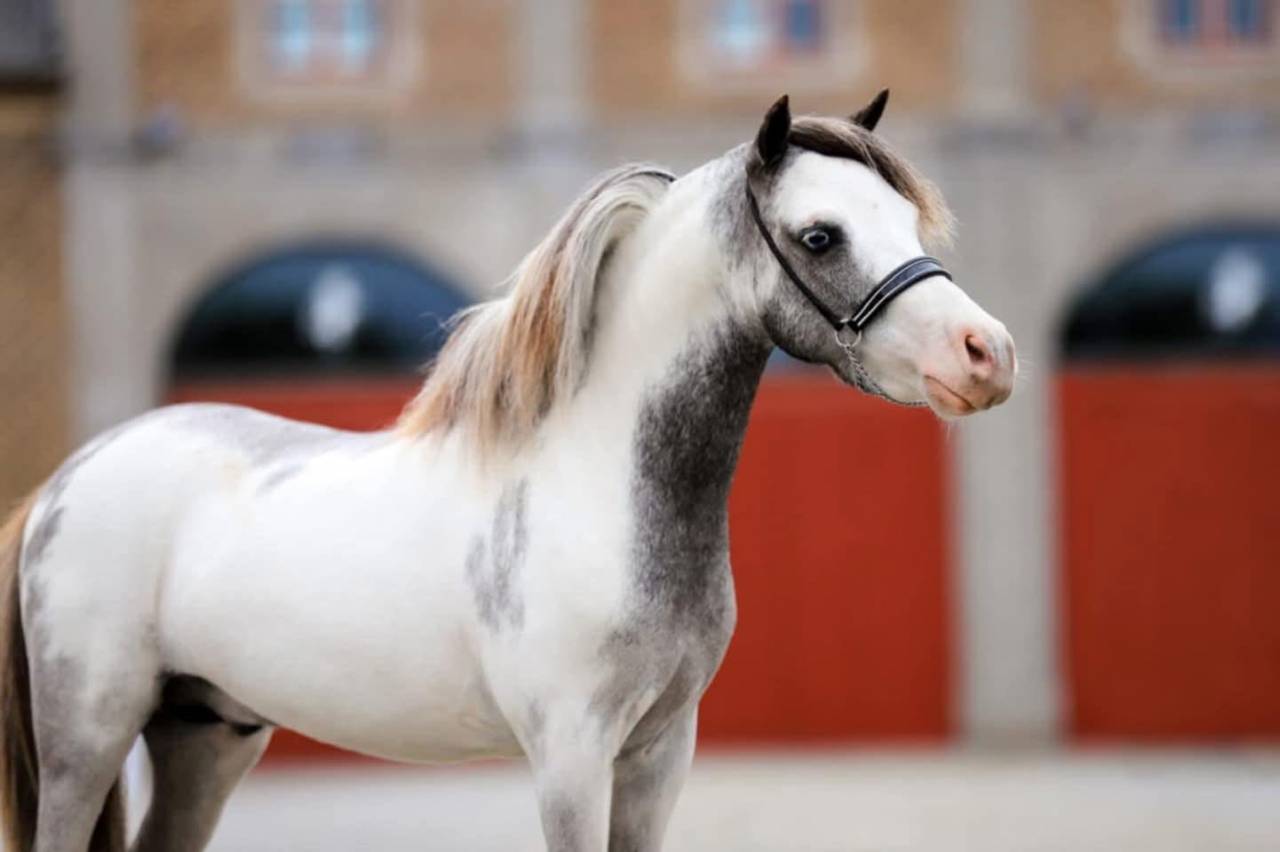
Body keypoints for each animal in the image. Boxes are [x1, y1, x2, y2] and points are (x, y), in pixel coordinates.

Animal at [0, 91, 1015, 852]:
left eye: (904, 218)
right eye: (819, 235)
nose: (987, 355)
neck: (598, 489)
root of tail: (68, 479)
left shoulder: (659, 755)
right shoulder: (571, 756)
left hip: (204, 735)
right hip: (87, 738)